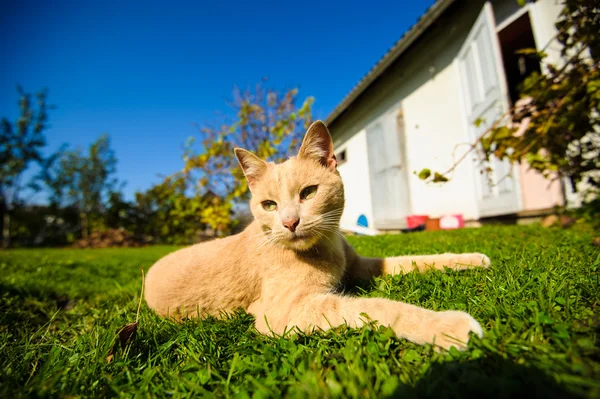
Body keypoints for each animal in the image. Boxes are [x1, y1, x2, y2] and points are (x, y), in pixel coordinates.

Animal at [146, 120, 492, 352]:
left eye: (309, 192)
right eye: (269, 205)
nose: (290, 222)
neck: (327, 247)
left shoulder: (362, 265)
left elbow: (414, 261)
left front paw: (472, 259)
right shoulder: (282, 312)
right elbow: (376, 308)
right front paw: (447, 326)